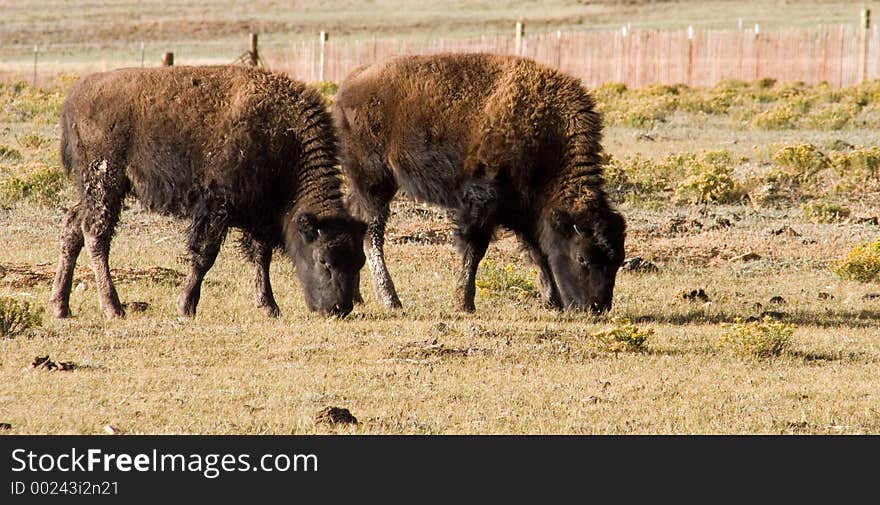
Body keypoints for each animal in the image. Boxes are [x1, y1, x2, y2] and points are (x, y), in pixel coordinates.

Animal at [49, 65, 366, 318]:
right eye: (324, 260)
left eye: (359, 262)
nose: (339, 308)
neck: (284, 140)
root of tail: (75, 96)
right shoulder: (216, 207)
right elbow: (205, 255)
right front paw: (186, 306)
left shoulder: (261, 216)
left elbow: (261, 257)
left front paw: (269, 306)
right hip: (106, 181)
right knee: (96, 234)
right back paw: (113, 307)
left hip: (94, 188)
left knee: (73, 226)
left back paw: (61, 306)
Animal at [330, 52, 624, 312]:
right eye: (582, 257)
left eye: (617, 261)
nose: (597, 307)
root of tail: (349, 85)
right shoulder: (482, 202)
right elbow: (475, 249)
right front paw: (464, 303)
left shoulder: (524, 209)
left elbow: (537, 251)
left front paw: (553, 301)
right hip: (375, 182)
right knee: (373, 233)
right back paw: (391, 300)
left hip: (366, 185)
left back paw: (357, 297)